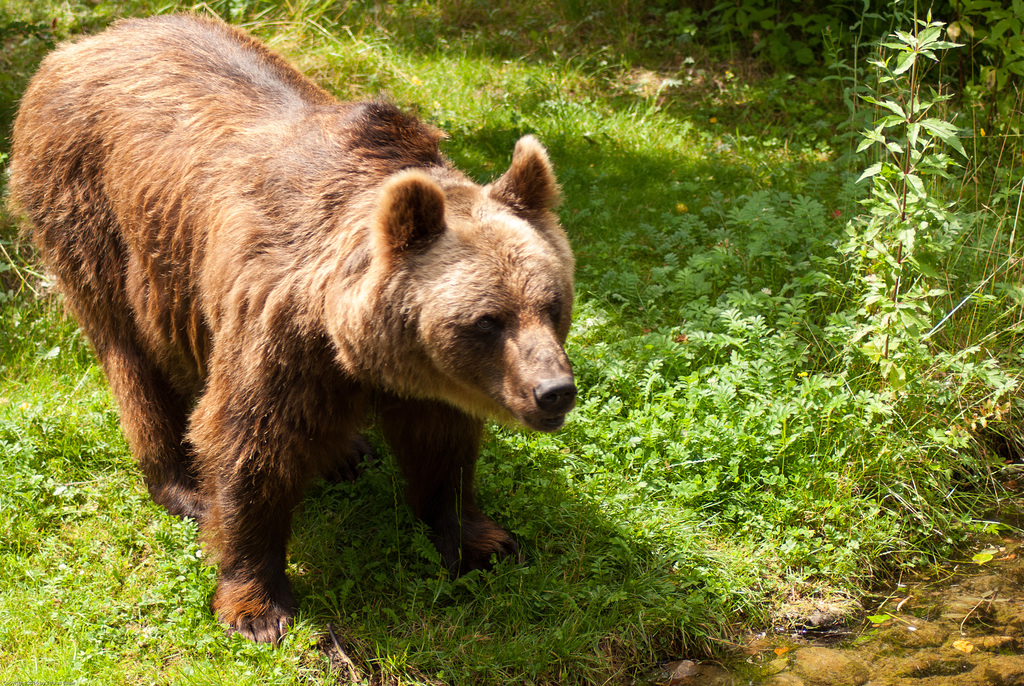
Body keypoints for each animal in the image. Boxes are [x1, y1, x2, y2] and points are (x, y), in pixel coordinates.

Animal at [9, 13, 577, 647]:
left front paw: (483, 540)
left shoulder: (425, 375)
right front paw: (256, 606)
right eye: (487, 320)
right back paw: (182, 485)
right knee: (134, 357)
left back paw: (345, 454)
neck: (347, 339)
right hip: (97, 219)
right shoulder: (278, 325)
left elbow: (442, 443)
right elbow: (249, 442)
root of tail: (85, 43)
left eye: (553, 303)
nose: (554, 391)